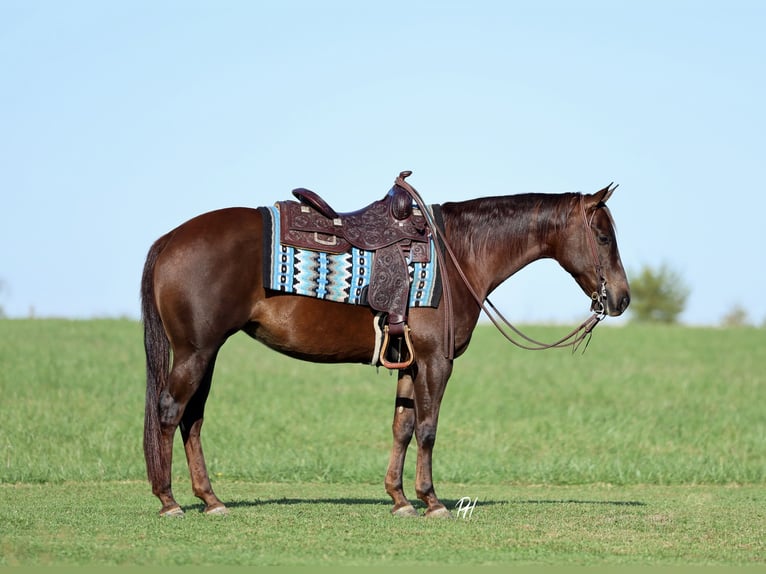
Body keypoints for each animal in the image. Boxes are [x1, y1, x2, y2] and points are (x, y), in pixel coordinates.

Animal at [141, 174, 630, 518]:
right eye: (604, 237)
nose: (622, 299)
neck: (458, 254)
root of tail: (171, 239)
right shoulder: (436, 361)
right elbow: (428, 428)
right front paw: (431, 501)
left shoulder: (409, 364)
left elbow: (403, 427)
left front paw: (399, 499)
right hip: (195, 351)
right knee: (170, 411)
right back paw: (169, 501)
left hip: (206, 353)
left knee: (192, 419)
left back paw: (210, 499)